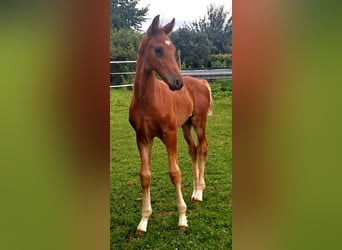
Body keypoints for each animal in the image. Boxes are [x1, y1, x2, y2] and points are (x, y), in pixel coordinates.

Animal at [129, 15, 212, 234]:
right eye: (158, 49)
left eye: (173, 49)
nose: (177, 83)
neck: (148, 100)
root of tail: (203, 83)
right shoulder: (143, 138)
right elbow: (145, 176)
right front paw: (143, 221)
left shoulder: (169, 135)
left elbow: (175, 173)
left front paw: (182, 219)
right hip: (186, 126)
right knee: (193, 149)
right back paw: (194, 192)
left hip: (199, 122)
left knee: (203, 147)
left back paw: (200, 192)